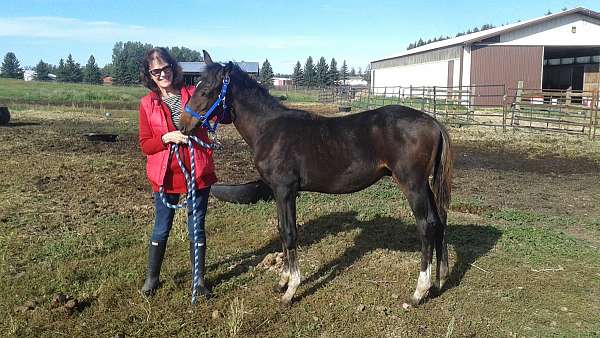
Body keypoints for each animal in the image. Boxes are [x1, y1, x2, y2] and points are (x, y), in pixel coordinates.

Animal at [180, 50, 452, 308]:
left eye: (205, 90)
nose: (183, 125)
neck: (269, 129)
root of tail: (433, 122)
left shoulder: (285, 190)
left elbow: (290, 232)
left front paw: (290, 290)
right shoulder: (279, 192)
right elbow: (282, 230)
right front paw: (282, 281)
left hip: (412, 185)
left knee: (426, 227)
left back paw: (418, 292)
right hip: (425, 185)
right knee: (438, 222)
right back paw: (439, 282)